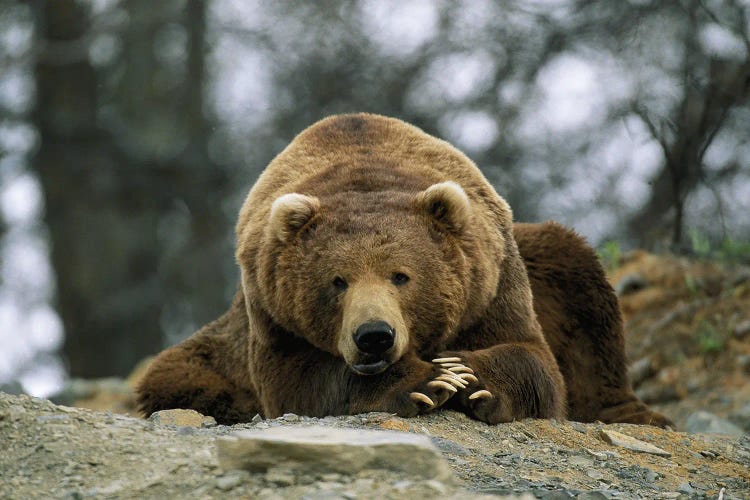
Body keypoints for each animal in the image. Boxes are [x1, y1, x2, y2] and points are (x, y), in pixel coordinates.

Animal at [137, 112, 676, 426]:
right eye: (337, 281)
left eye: (401, 275)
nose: (374, 335)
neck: (364, 169)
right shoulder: (270, 308)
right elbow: (297, 381)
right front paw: (426, 380)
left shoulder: (492, 280)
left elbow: (534, 359)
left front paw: (471, 377)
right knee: (177, 375)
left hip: (544, 260)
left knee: (581, 291)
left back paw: (634, 414)